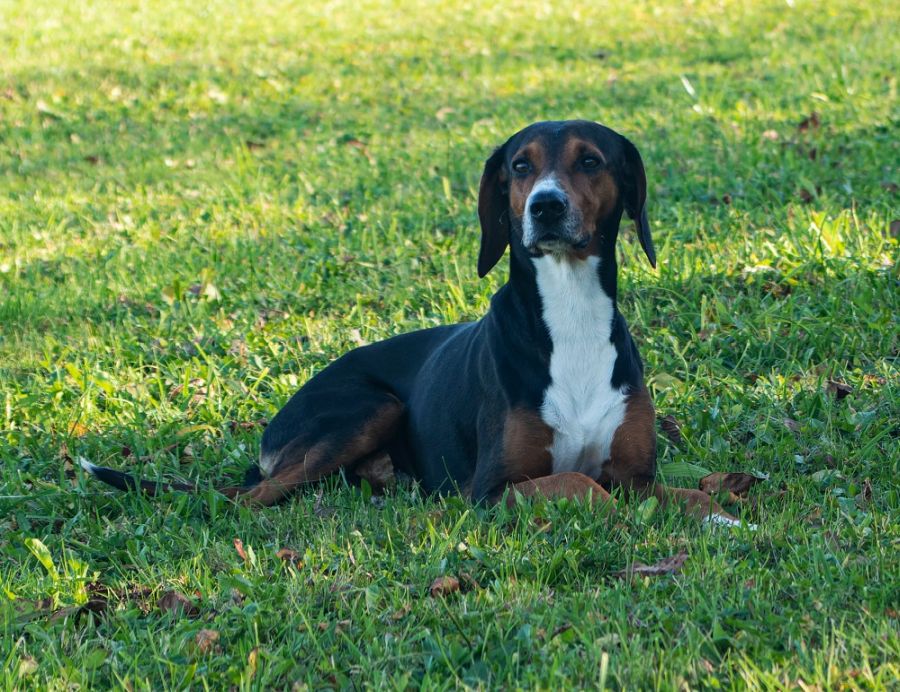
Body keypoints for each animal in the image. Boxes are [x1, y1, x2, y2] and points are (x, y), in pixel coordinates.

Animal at [82, 120, 742, 526]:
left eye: (591, 160)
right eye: (520, 166)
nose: (546, 206)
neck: (569, 311)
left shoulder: (636, 473)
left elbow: (676, 490)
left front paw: (719, 513)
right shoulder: (489, 491)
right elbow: (583, 486)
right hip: (369, 407)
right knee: (249, 499)